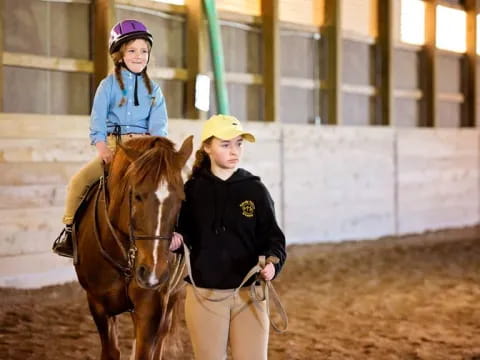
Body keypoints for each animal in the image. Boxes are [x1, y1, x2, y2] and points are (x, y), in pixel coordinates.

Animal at [73, 136, 193, 360]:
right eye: (137, 195)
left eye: (182, 199)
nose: (153, 273)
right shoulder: (98, 305)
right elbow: (111, 352)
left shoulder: (152, 307)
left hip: (172, 297)